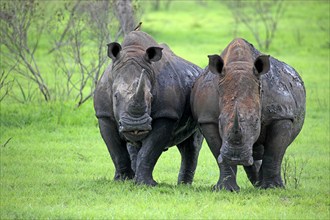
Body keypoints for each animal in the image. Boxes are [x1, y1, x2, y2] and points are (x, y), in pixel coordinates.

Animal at [93, 30, 204, 186]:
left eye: (151, 97)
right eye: (115, 96)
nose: (135, 125)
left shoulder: (166, 114)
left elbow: (150, 150)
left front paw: (146, 184)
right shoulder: (103, 115)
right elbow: (116, 150)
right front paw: (122, 181)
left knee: (191, 146)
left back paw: (183, 186)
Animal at [191, 38, 306, 191]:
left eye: (257, 121)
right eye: (220, 121)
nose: (236, 157)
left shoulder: (282, 115)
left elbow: (274, 152)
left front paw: (273, 188)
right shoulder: (207, 118)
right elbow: (218, 153)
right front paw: (226, 189)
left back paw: (262, 186)